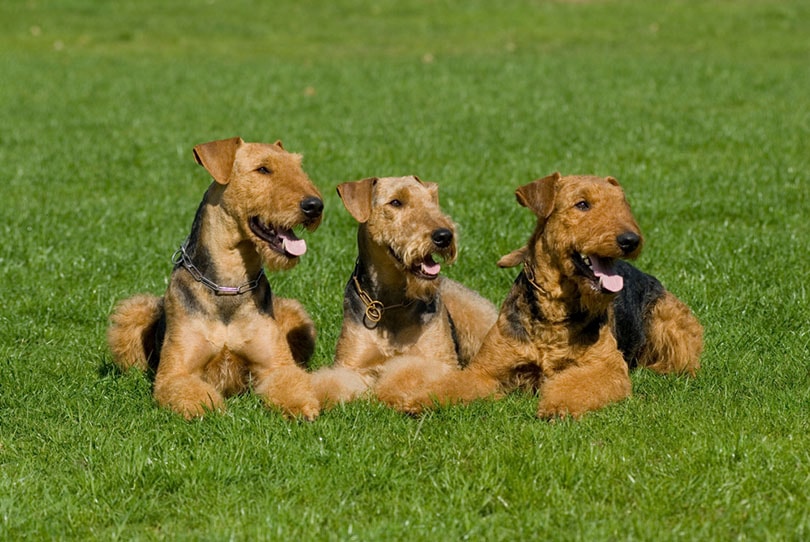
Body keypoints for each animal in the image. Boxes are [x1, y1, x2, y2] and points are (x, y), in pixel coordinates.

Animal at [106, 136, 322, 420]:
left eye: (298, 166)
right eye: (263, 169)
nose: (315, 206)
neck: (229, 284)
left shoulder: (276, 366)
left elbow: (291, 382)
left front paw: (302, 406)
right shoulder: (176, 374)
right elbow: (193, 394)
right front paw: (208, 409)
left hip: (294, 315)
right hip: (134, 313)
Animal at [310, 176, 496, 406]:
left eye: (431, 199)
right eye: (396, 202)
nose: (444, 235)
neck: (391, 303)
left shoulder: (440, 362)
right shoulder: (351, 365)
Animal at [378, 174, 700, 420]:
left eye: (622, 204)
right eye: (582, 204)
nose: (630, 240)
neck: (554, 312)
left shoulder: (606, 368)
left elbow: (578, 386)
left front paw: (557, 406)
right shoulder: (485, 371)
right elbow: (451, 385)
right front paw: (416, 401)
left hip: (673, 325)